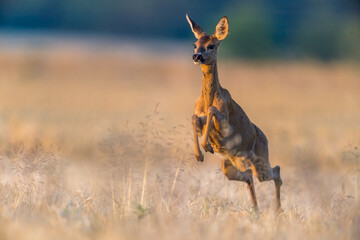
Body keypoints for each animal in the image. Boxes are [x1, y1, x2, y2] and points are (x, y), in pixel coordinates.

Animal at [187, 14, 282, 211]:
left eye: (212, 45)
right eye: (195, 43)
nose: (197, 56)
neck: (209, 98)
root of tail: (265, 138)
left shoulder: (224, 123)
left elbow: (212, 110)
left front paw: (207, 146)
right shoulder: (197, 116)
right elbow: (194, 118)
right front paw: (199, 154)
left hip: (261, 160)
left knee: (275, 171)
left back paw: (277, 210)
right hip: (229, 167)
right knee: (249, 176)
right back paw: (257, 210)